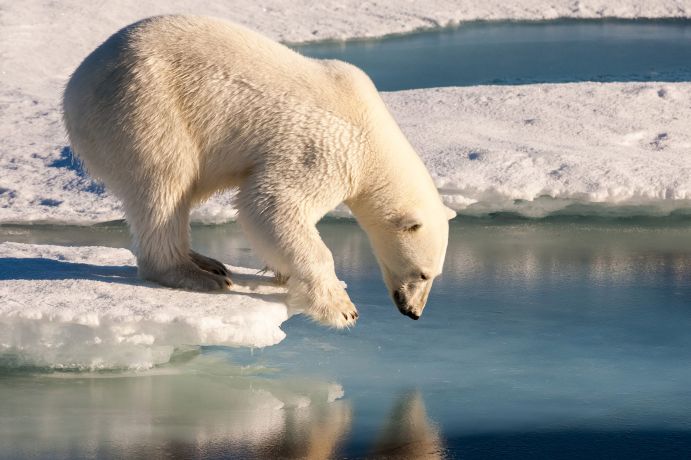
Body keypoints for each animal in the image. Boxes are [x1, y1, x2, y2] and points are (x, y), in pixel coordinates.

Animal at [62, 16, 456, 328]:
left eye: (435, 275)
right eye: (422, 273)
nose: (413, 312)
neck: (372, 132)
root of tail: (76, 85)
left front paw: (282, 272)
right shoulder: (325, 148)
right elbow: (270, 203)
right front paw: (342, 308)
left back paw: (207, 262)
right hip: (146, 108)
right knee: (164, 184)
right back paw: (194, 275)